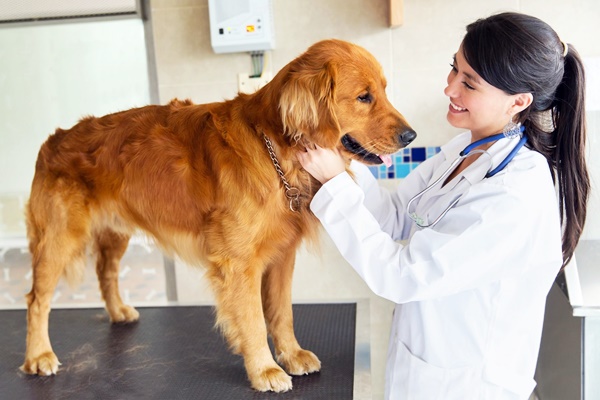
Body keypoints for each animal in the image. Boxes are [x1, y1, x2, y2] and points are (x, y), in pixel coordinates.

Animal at [21, 39, 414, 392]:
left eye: (384, 91)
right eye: (364, 97)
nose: (411, 136)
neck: (275, 151)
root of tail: (52, 140)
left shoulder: (282, 255)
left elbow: (281, 312)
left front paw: (291, 354)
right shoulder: (238, 262)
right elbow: (254, 319)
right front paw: (264, 369)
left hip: (115, 233)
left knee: (106, 271)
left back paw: (117, 311)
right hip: (59, 239)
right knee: (37, 300)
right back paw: (38, 355)